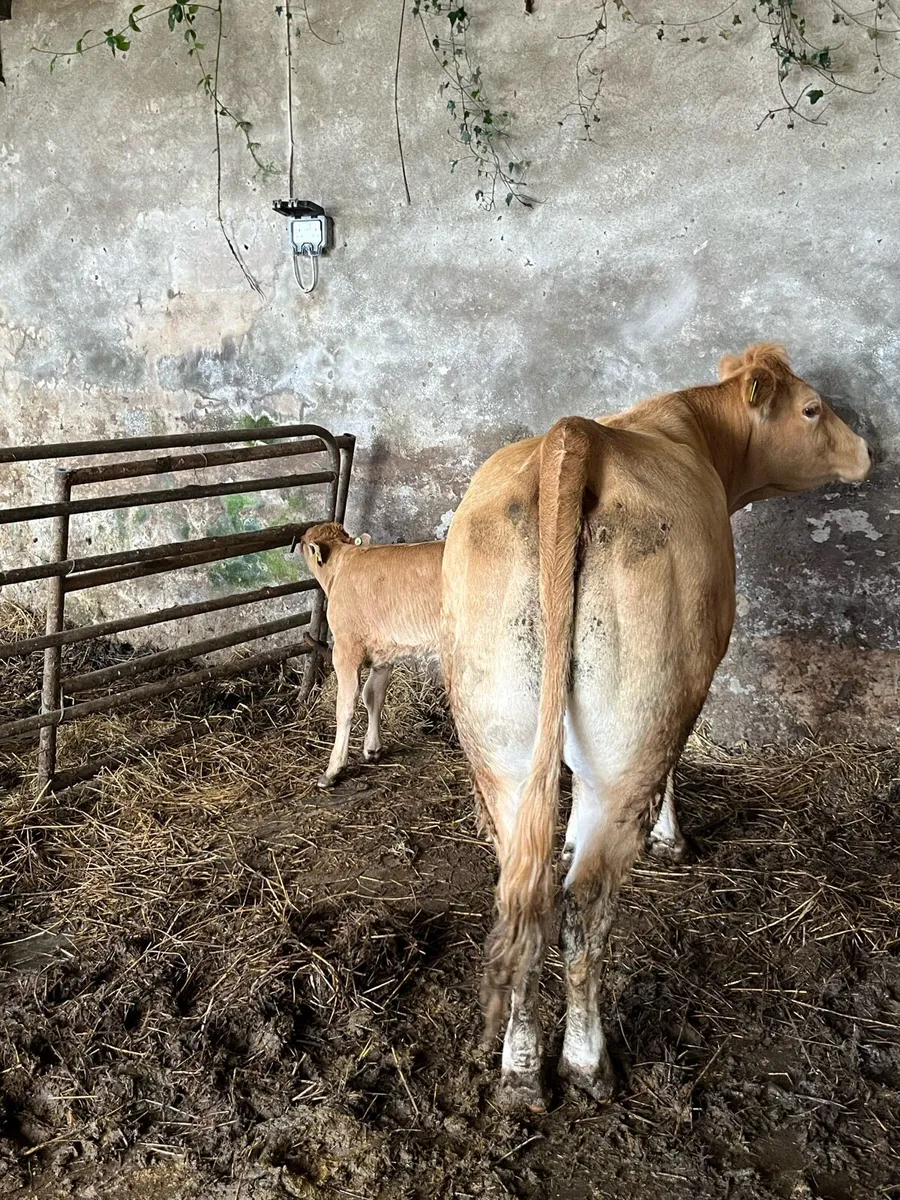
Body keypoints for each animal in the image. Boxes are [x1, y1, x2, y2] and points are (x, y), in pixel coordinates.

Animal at [300, 523, 444, 789]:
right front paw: (372, 748)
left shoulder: (345, 649)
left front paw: (333, 769)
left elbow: (345, 706)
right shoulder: (384, 652)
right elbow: (373, 695)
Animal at [441, 344, 872, 1112]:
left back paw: (519, 1073)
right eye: (812, 408)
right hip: (633, 733)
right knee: (581, 908)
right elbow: (678, 765)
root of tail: (574, 437)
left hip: (500, 742)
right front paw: (673, 839)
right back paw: (587, 1065)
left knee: (521, 895)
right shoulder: (689, 684)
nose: (869, 452)